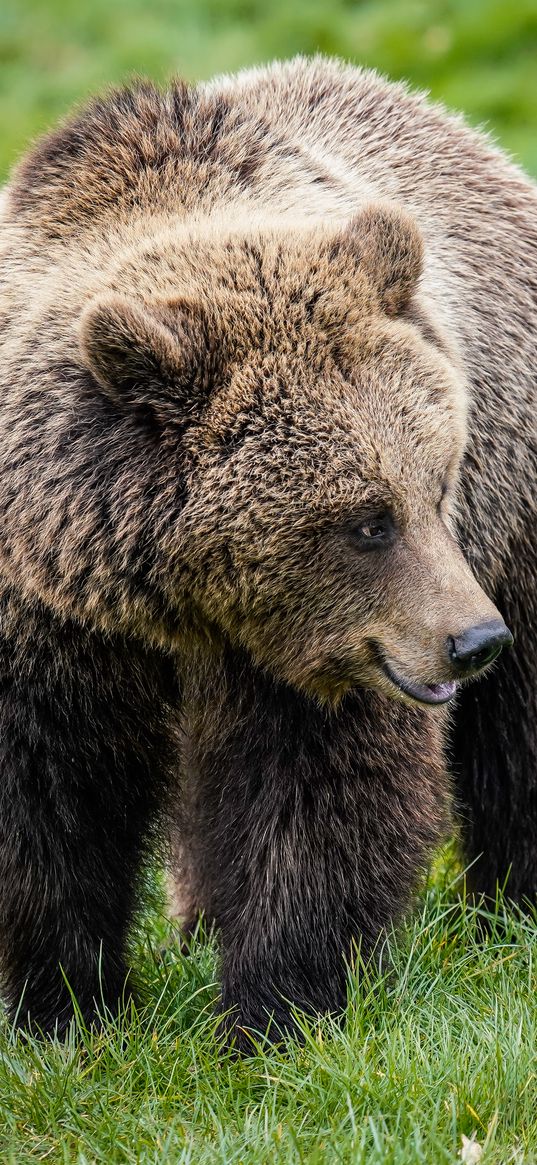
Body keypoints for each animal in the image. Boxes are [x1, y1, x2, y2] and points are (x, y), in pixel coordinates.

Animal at [0, 56, 533, 1048]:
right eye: (368, 520)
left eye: (435, 481)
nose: (472, 640)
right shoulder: (49, 622)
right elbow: (49, 800)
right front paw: (60, 1007)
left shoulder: (331, 654)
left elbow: (318, 797)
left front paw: (276, 1008)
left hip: (518, 513)